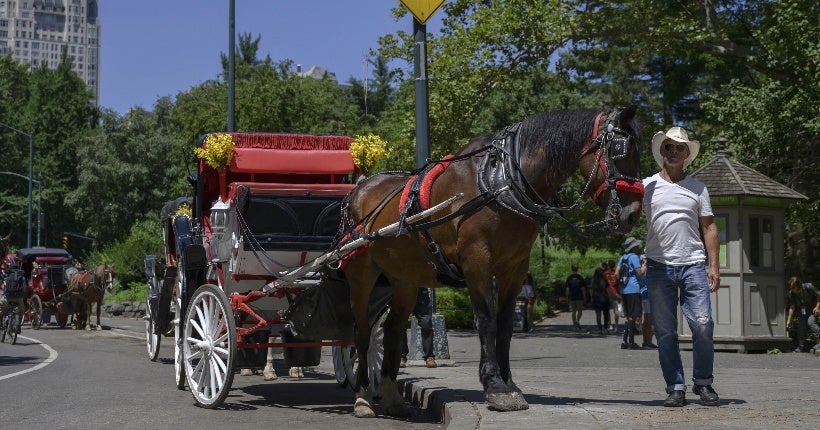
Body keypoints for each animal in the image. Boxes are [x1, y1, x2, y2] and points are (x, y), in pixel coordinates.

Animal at [342, 107, 648, 416]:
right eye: (620, 151)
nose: (633, 215)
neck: (500, 182)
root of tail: (359, 188)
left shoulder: (515, 268)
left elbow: (504, 324)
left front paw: (509, 382)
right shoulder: (477, 261)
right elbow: (486, 320)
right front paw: (494, 385)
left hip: (404, 279)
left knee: (392, 332)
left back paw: (392, 396)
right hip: (360, 273)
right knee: (362, 331)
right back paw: (363, 396)